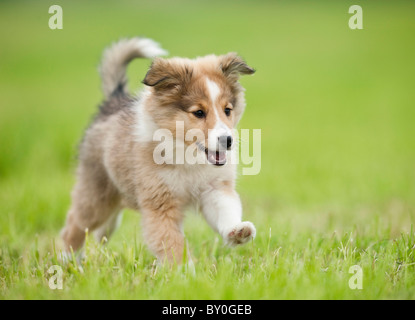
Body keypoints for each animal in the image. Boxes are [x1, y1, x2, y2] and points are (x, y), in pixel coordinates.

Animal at [61, 37, 256, 264]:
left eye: (227, 110)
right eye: (199, 112)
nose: (228, 141)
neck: (187, 154)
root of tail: (113, 101)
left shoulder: (214, 189)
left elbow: (226, 211)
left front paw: (238, 232)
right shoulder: (160, 204)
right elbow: (172, 242)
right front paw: (185, 270)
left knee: (103, 228)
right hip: (96, 195)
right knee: (74, 224)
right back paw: (68, 260)